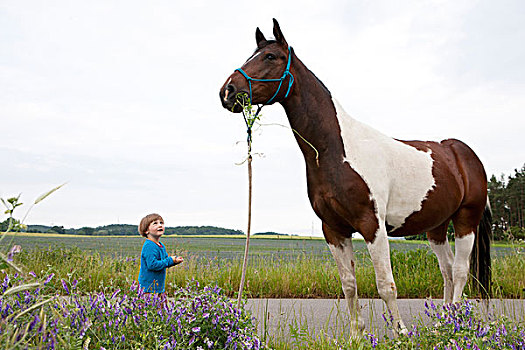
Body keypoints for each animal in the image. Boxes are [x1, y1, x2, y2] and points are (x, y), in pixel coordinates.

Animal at [218, 19, 492, 336]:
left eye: (270, 56)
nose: (227, 91)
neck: (336, 151)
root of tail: (464, 154)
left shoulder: (373, 226)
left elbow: (386, 285)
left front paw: (401, 334)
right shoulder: (334, 230)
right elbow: (349, 285)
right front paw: (356, 336)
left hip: (465, 220)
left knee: (459, 272)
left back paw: (455, 326)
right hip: (436, 226)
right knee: (446, 270)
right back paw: (442, 326)